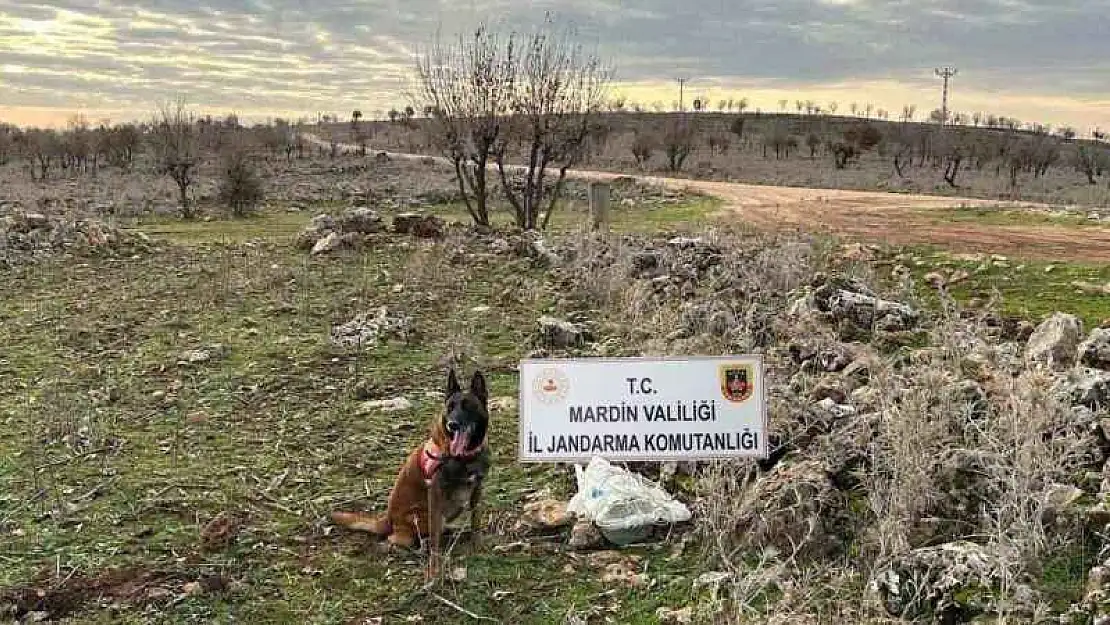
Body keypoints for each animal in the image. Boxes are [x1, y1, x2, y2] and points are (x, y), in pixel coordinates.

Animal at [326, 368, 488, 581]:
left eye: (468, 406)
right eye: (450, 408)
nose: (452, 424)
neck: (465, 457)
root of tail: (388, 519)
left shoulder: (477, 489)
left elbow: (476, 520)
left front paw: (477, 544)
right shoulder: (435, 496)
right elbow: (435, 540)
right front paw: (434, 569)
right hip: (419, 518)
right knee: (401, 539)